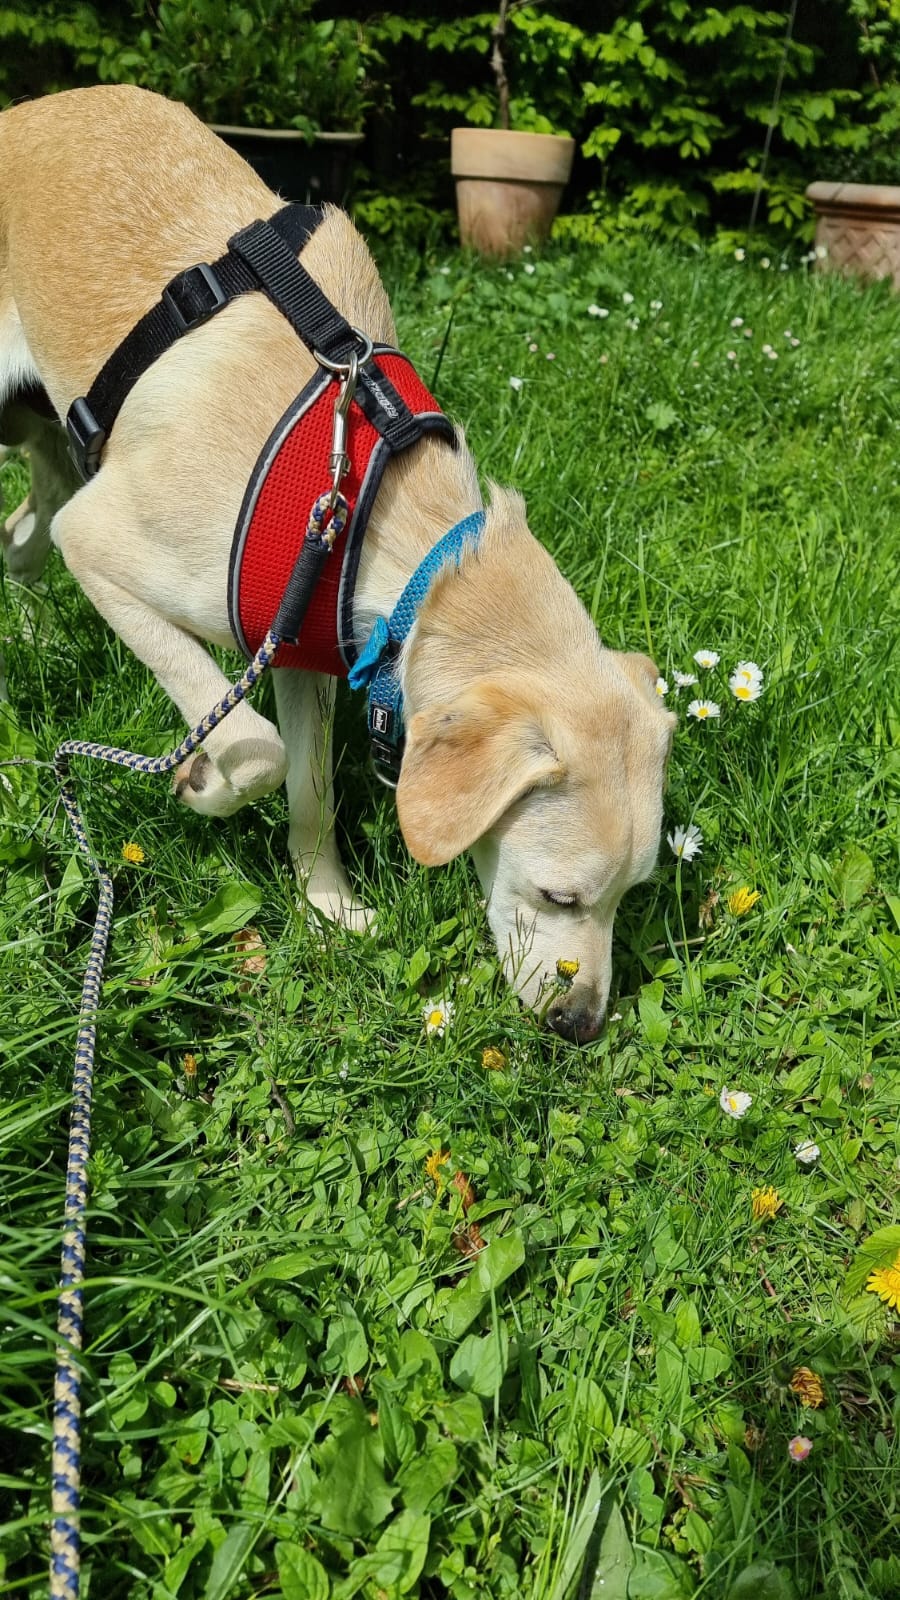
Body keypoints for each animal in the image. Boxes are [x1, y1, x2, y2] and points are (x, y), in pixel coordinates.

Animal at [0, 86, 674, 1042]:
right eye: (561, 894)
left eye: (629, 895)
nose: (581, 1026)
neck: (372, 500)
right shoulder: (98, 541)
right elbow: (254, 746)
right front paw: (200, 783)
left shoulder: (299, 635)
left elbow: (311, 789)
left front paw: (326, 909)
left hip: (53, 457)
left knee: (16, 536)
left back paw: (31, 643)